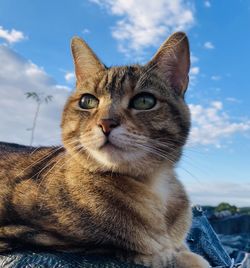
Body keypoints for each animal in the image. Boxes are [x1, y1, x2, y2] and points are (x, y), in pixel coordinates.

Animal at [0, 32, 209, 266]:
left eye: (144, 101)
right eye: (87, 101)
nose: (106, 123)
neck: (153, 187)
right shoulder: (31, 234)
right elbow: (145, 251)